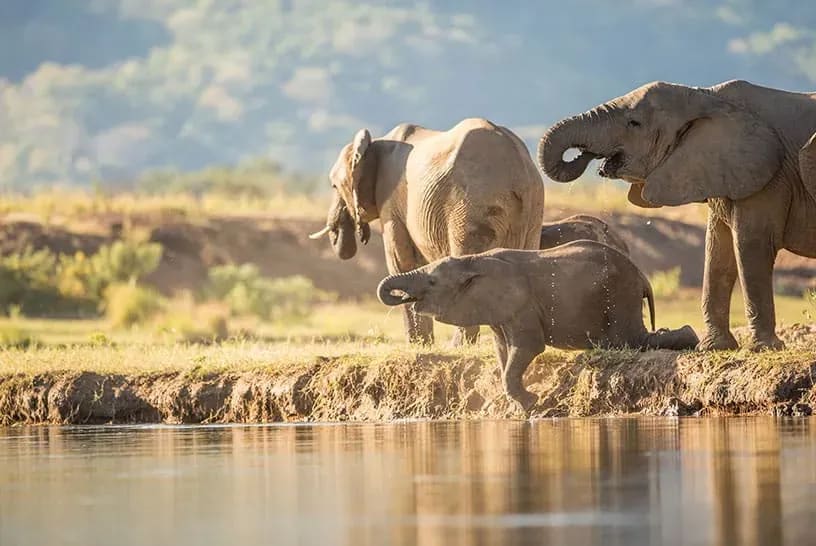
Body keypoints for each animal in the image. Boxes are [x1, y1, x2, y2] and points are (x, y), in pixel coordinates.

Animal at [310, 118, 545, 345]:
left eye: (334, 186)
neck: (375, 142)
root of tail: (519, 171)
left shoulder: (391, 202)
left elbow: (401, 263)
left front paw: (417, 346)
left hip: (473, 206)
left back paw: (459, 347)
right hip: (533, 209)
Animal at [377, 240, 699, 410]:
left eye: (432, 282)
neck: (473, 260)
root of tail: (642, 276)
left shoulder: (523, 304)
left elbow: (528, 346)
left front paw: (532, 402)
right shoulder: (499, 310)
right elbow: (503, 351)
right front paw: (525, 402)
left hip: (619, 294)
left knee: (630, 340)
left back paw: (691, 338)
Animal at [537, 80, 816, 352]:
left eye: (634, 123)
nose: (587, 157)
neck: (706, 96)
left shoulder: (770, 179)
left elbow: (751, 245)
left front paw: (765, 348)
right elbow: (717, 248)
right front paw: (713, 347)